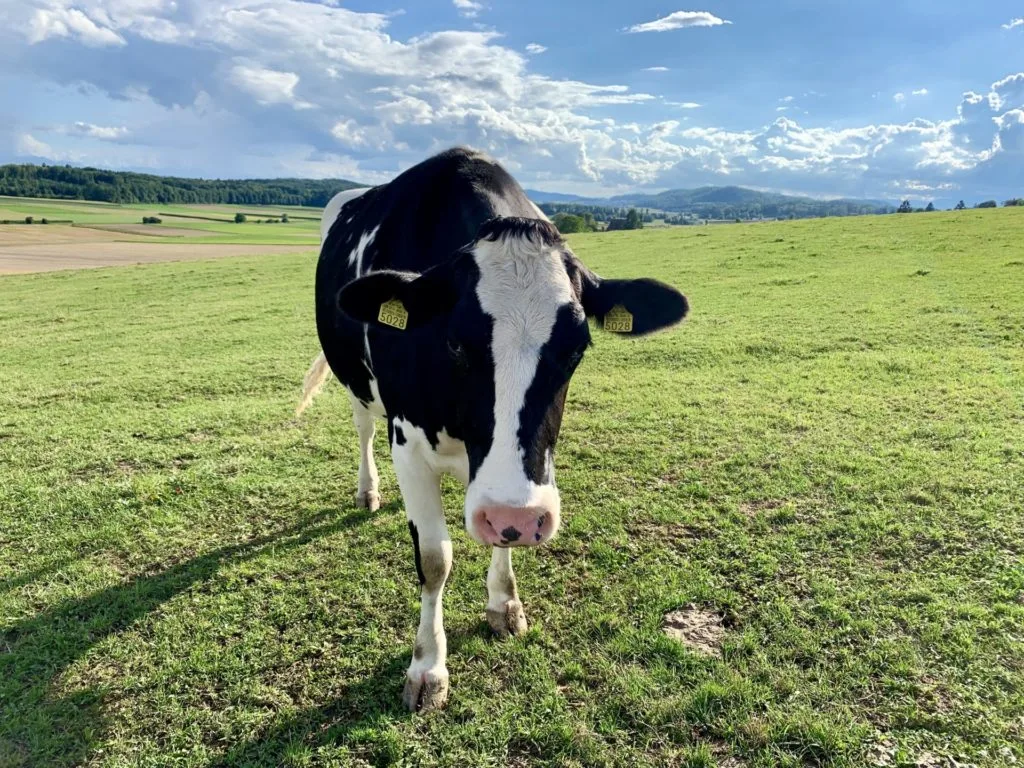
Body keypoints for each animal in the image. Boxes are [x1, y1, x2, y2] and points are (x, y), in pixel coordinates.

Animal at [297, 147, 688, 712]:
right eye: (455, 343)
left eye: (577, 349)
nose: (518, 516)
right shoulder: (407, 442)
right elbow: (434, 558)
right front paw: (427, 667)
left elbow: (499, 537)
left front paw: (505, 603)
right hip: (354, 382)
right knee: (363, 429)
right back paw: (368, 491)